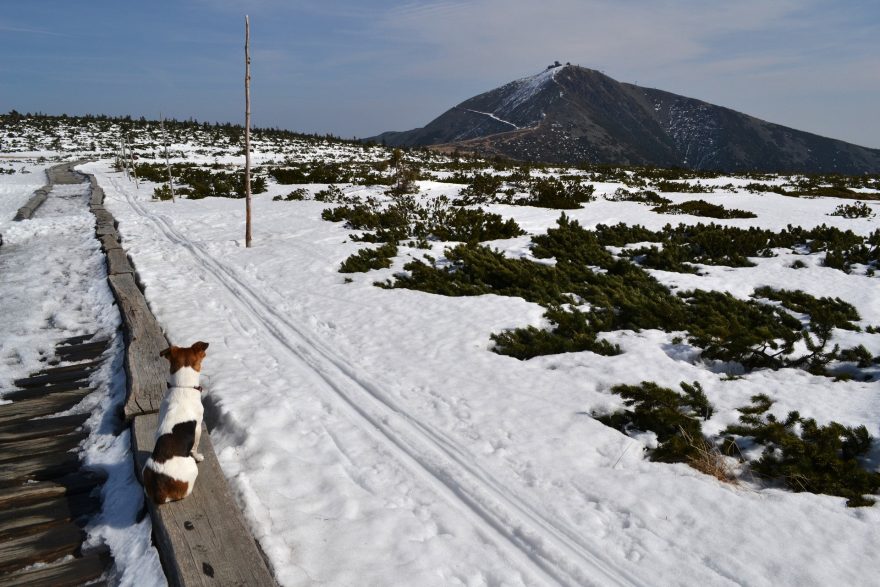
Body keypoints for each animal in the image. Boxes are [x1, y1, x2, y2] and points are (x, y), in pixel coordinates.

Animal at [143, 342, 210, 504]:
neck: (182, 386)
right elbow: (195, 446)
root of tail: (160, 490)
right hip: (192, 468)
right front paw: (198, 455)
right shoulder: (198, 428)